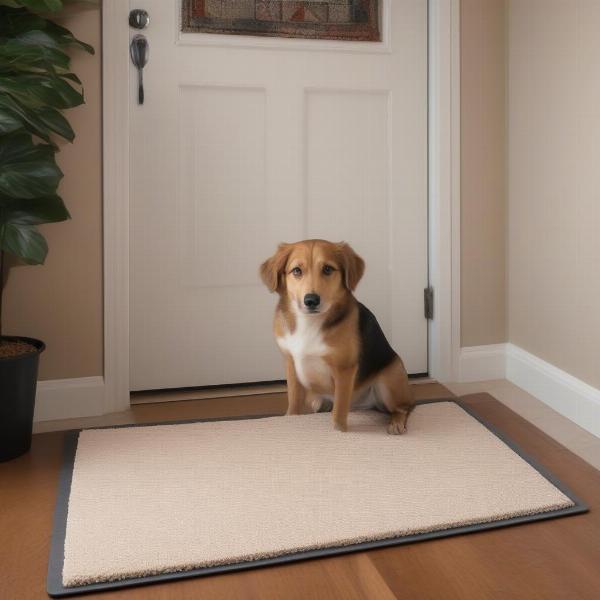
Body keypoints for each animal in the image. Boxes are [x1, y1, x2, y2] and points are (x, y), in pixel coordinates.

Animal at [260, 240, 414, 436]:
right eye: (296, 271)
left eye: (327, 269)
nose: (311, 300)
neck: (309, 322)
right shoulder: (290, 363)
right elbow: (294, 401)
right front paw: (291, 418)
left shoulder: (344, 369)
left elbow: (339, 409)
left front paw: (339, 431)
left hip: (389, 379)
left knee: (404, 407)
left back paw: (396, 423)